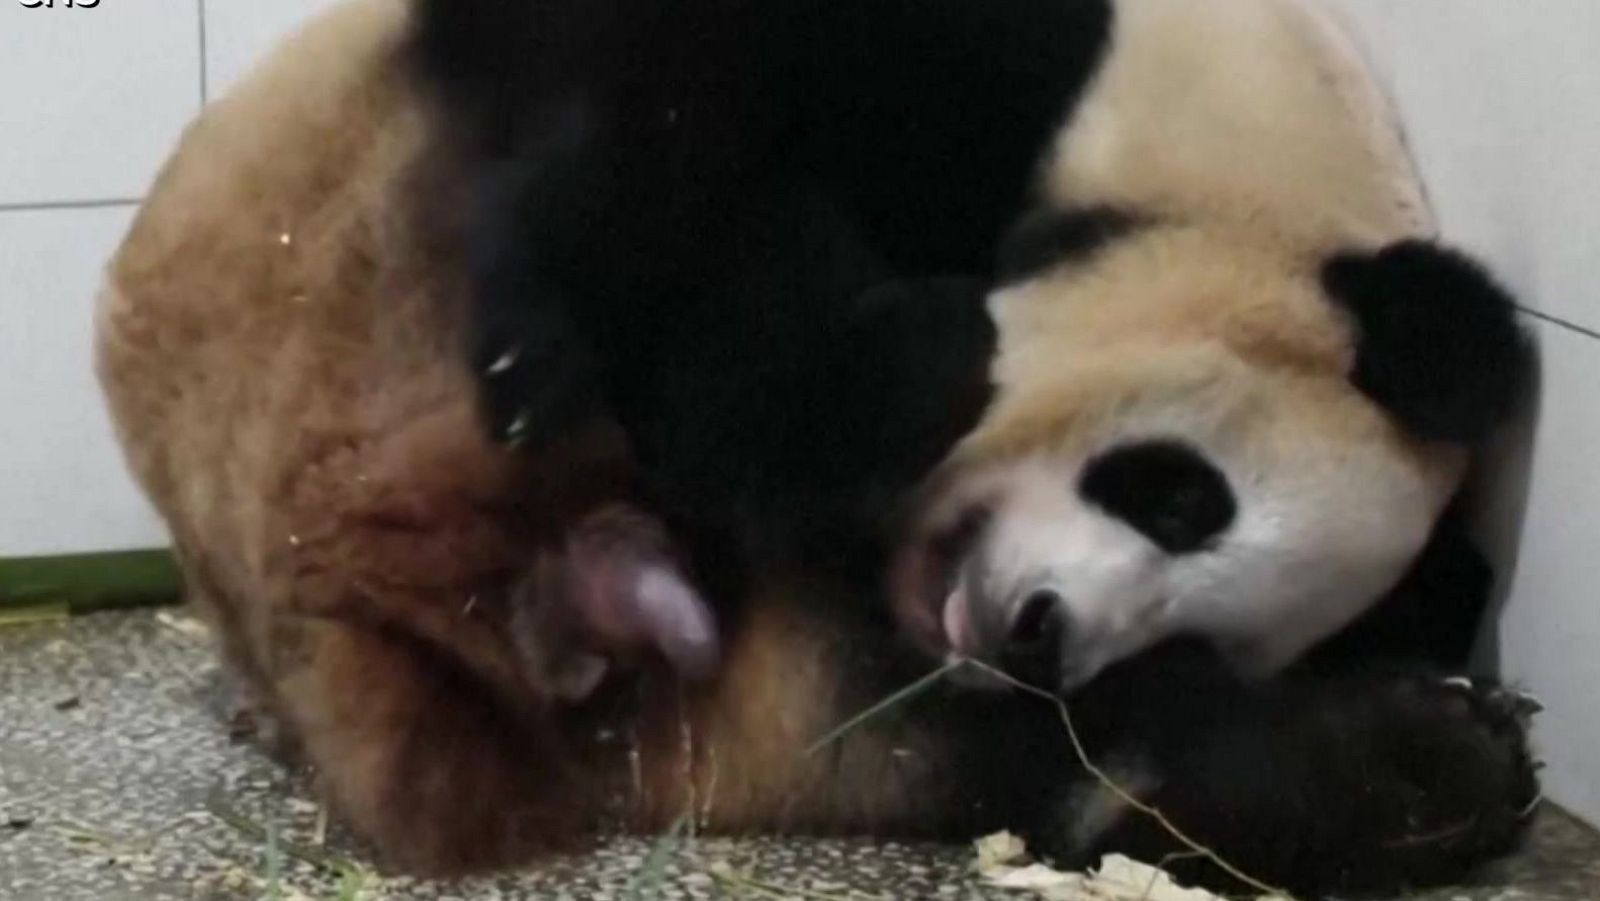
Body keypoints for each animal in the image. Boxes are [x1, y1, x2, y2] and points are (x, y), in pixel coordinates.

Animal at [97, 0, 1538, 896]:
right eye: (1181, 496)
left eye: (1226, 624)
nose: (1043, 636)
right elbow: (668, 130)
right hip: (353, 262)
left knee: (1007, 749)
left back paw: (1426, 765)